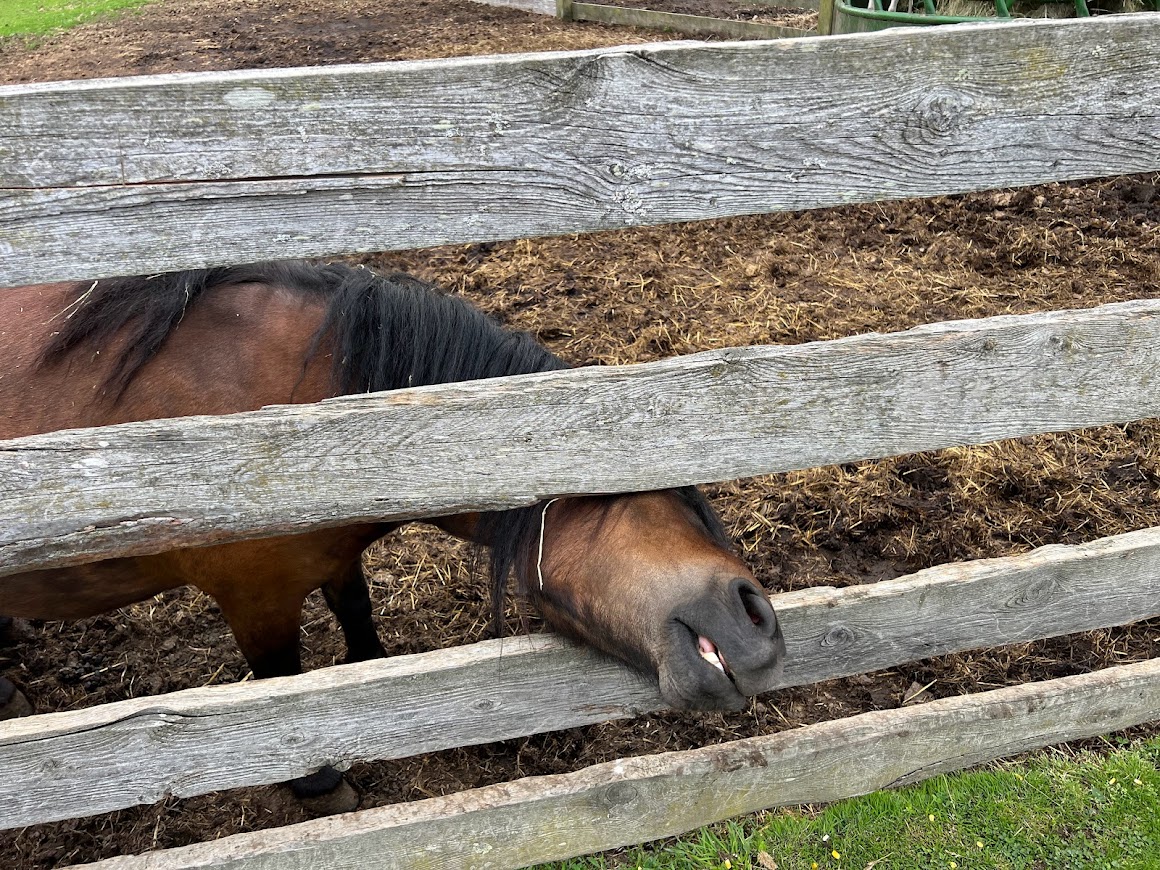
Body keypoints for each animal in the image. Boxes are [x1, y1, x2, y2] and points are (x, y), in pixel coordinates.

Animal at [0, 264, 784, 812]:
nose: (755, 625)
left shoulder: (332, 556)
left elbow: (357, 618)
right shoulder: (255, 596)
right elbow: (281, 688)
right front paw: (321, 782)